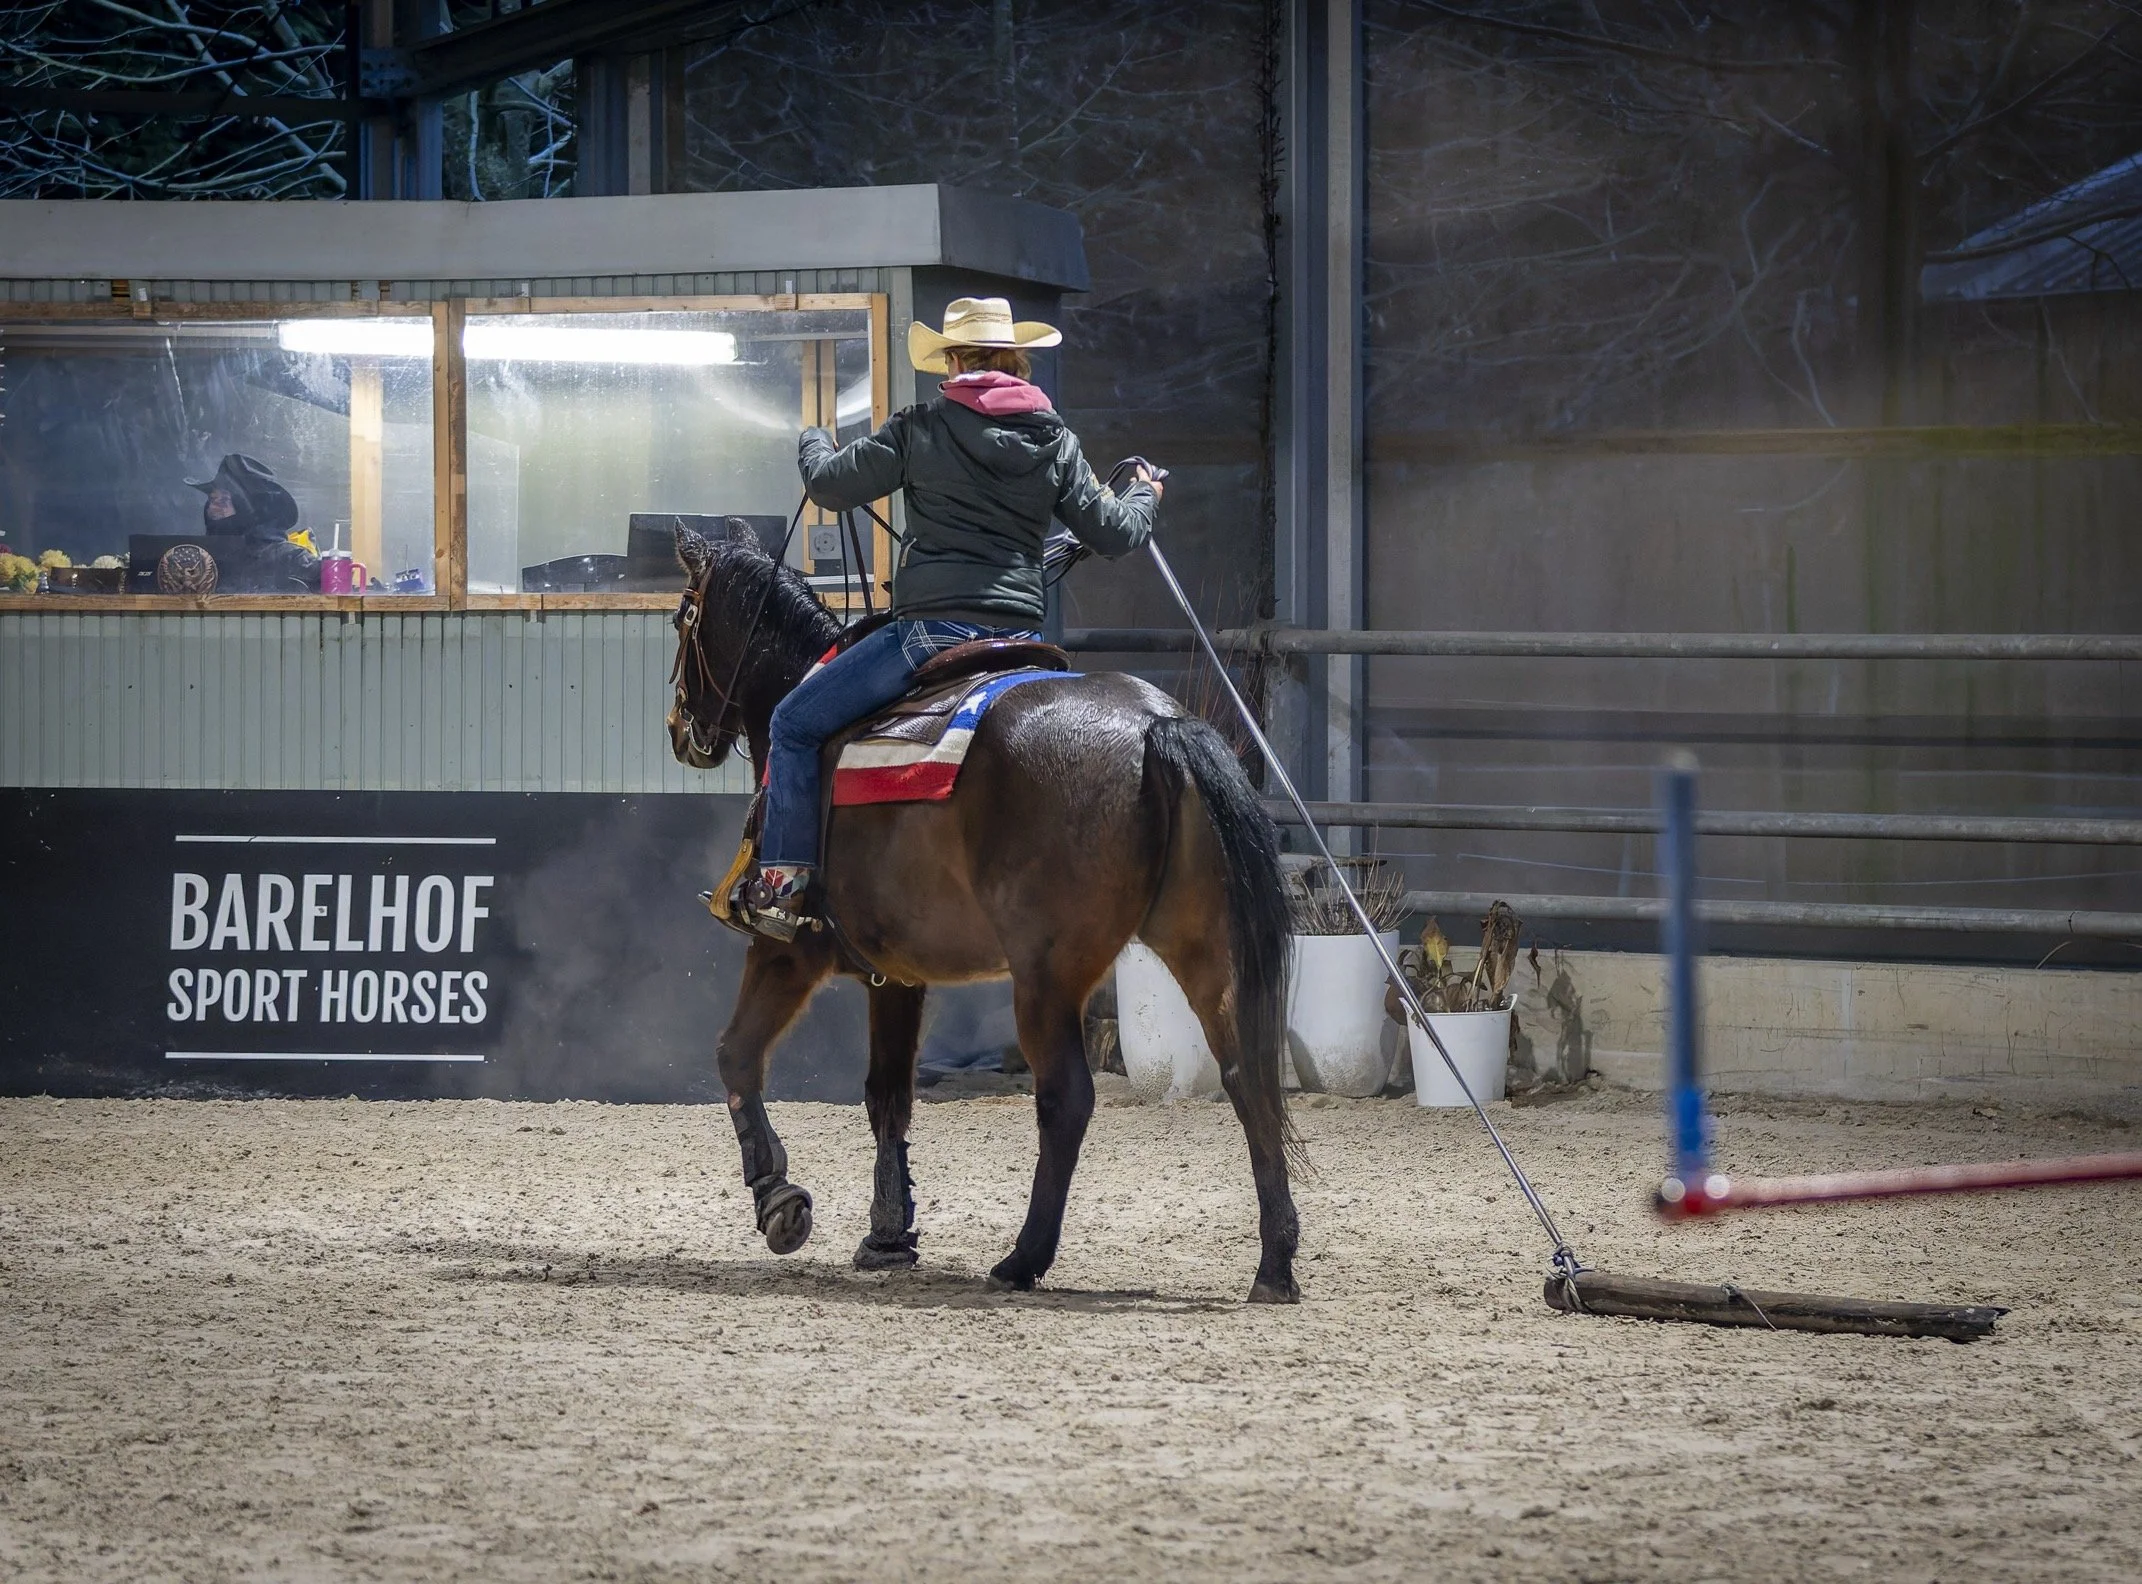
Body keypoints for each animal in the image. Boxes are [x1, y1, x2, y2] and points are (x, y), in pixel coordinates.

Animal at [666, 522, 1303, 1303]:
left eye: (683, 617)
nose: (680, 728)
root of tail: (1158, 726)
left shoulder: (789, 951)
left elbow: (736, 1053)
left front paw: (777, 1199)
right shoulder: (896, 976)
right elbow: (888, 1096)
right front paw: (888, 1235)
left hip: (1047, 979)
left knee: (1067, 1101)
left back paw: (1023, 1258)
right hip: (1203, 950)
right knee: (1247, 1074)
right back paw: (1274, 1265)